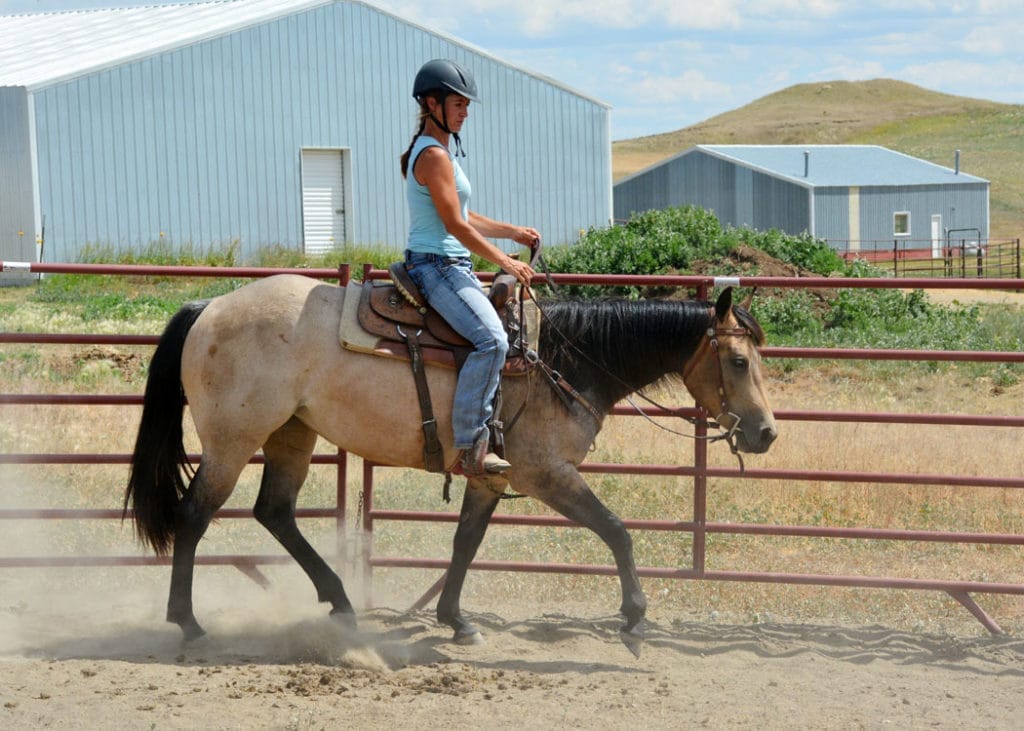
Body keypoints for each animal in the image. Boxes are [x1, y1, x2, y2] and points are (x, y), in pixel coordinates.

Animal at [124, 273, 776, 656]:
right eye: (739, 362)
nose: (767, 432)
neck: (563, 357)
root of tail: (209, 306)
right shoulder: (546, 473)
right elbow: (617, 531)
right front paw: (634, 615)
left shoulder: (490, 474)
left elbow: (465, 541)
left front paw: (455, 619)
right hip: (233, 441)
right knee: (194, 516)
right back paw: (188, 622)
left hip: (292, 433)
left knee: (275, 512)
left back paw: (340, 602)